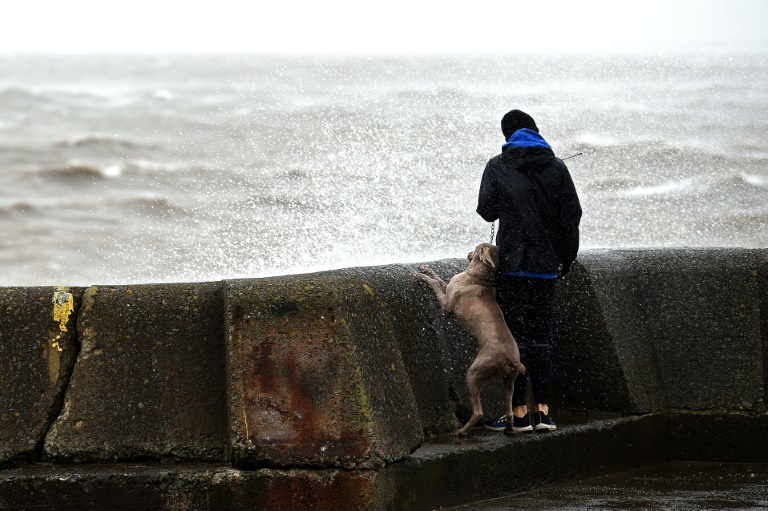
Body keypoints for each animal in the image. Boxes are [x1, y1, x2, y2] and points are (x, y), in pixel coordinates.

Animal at [416, 243, 524, 436]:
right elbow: (440, 279)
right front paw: (426, 268)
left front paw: (421, 276)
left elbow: (436, 284)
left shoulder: (446, 308)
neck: (478, 278)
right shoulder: (450, 287)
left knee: (478, 412)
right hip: (509, 379)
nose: (467, 253)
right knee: (510, 411)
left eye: (476, 247)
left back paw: (462, 431)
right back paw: (509, 430)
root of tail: (510, 358)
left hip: (474, 373)